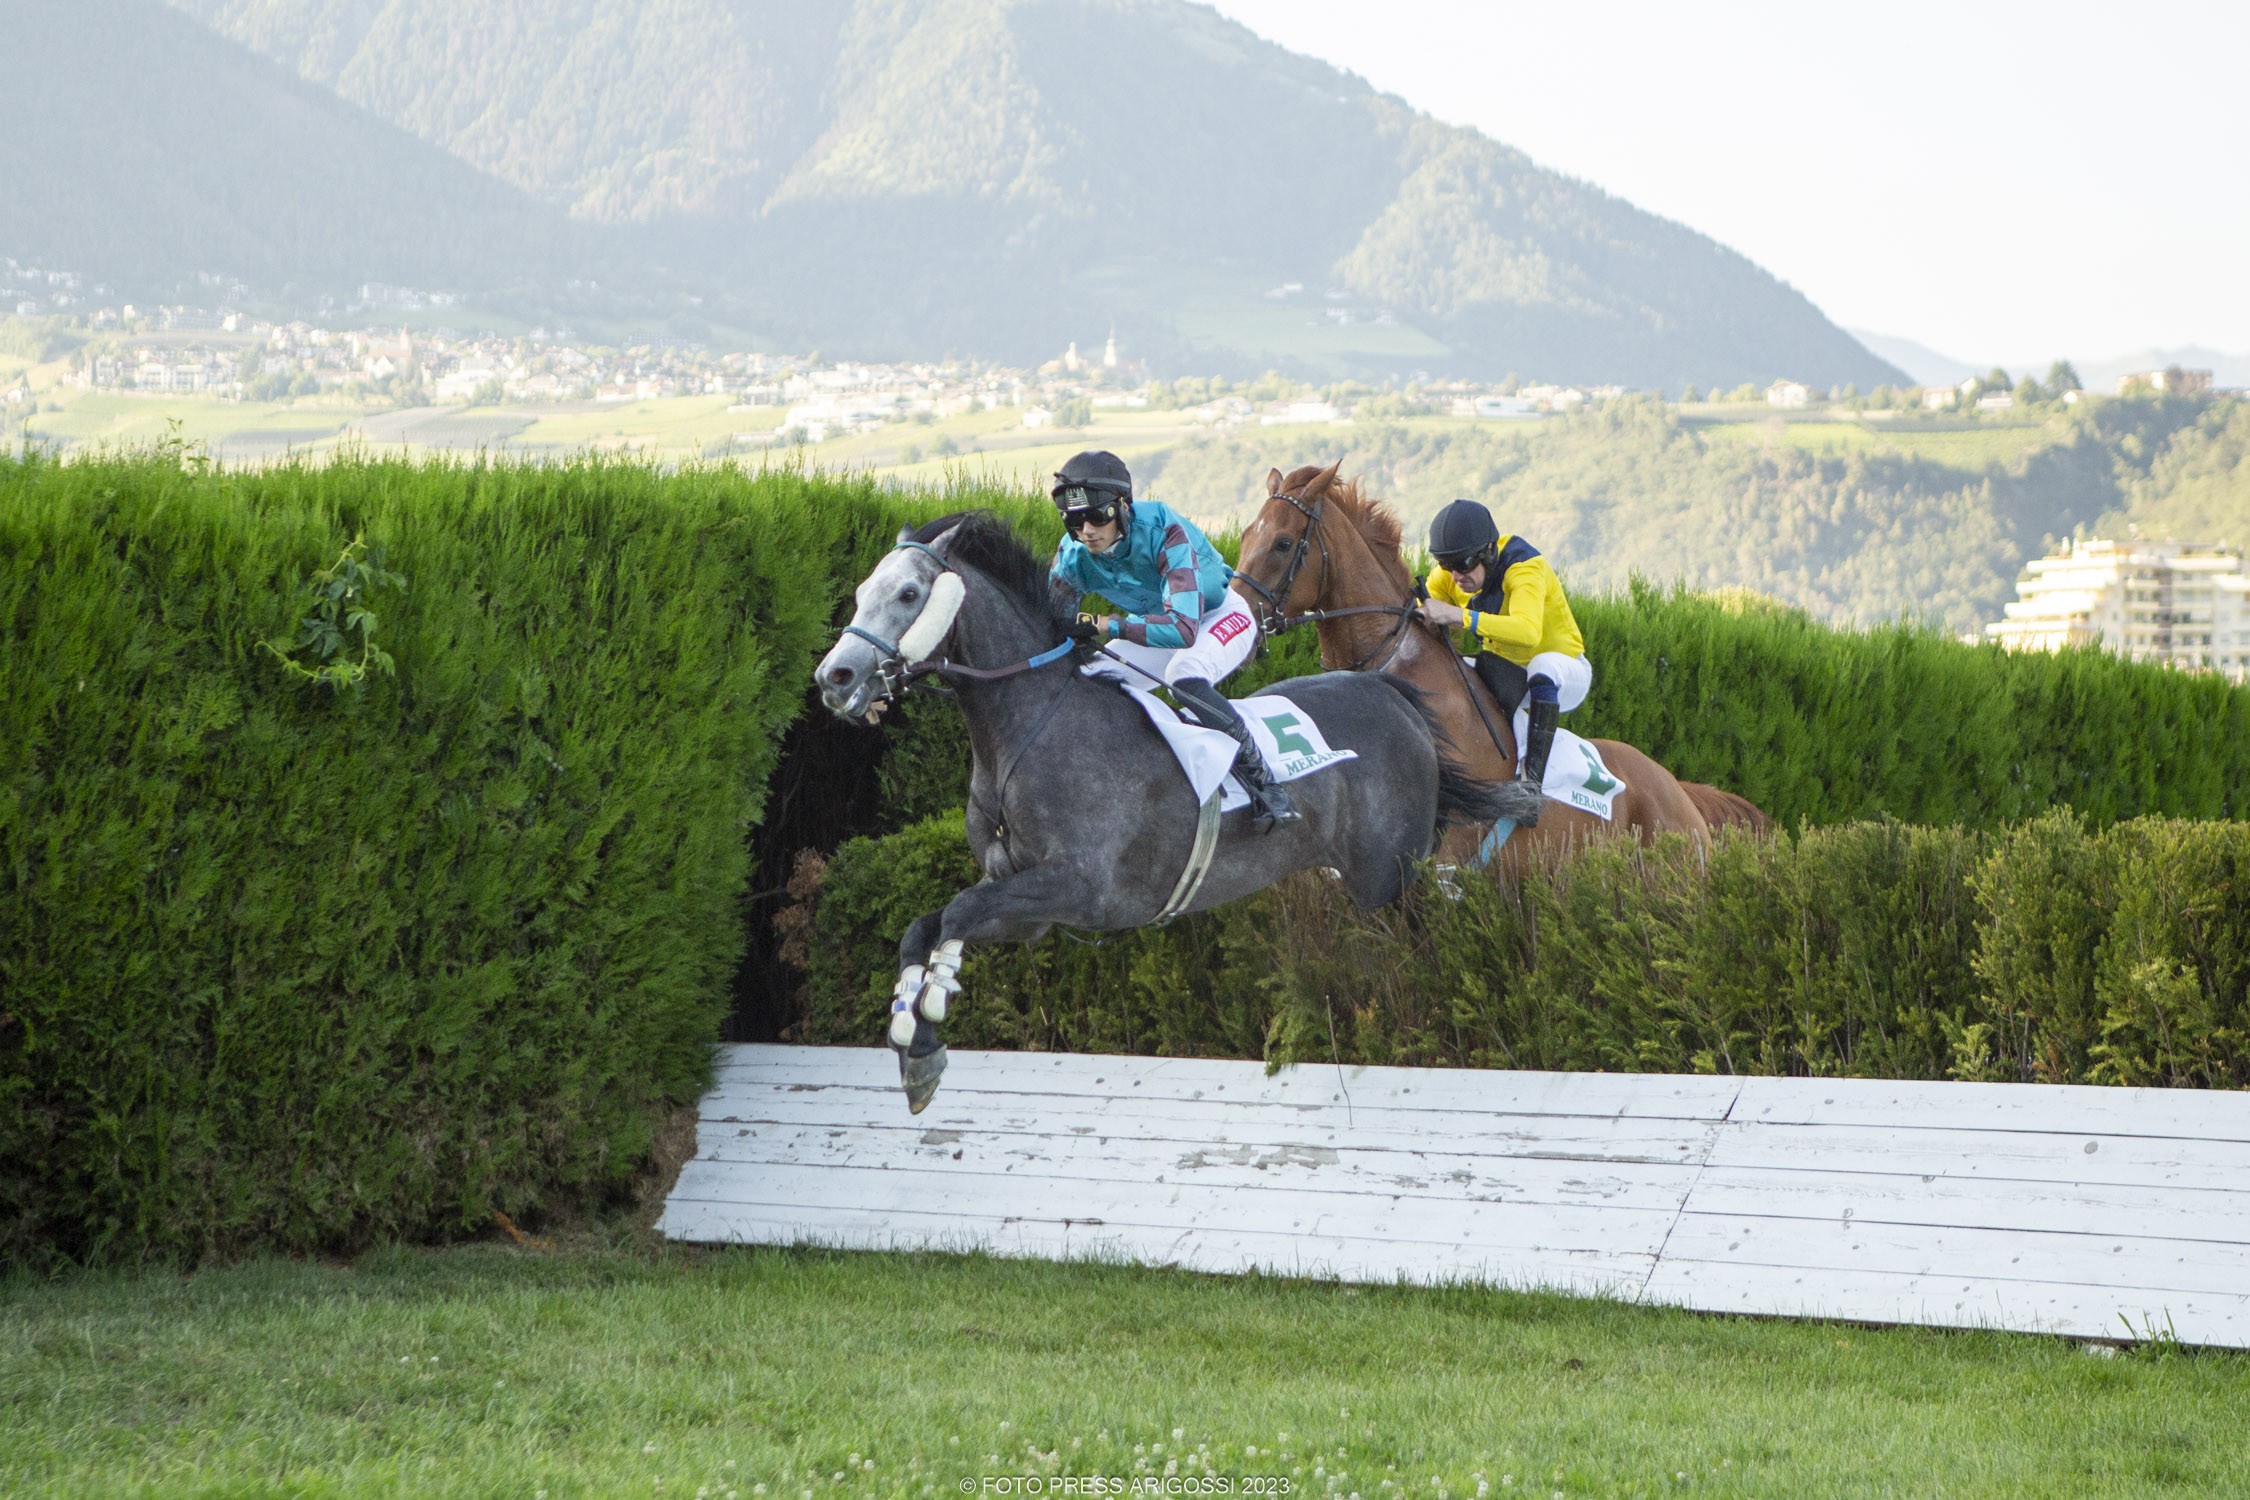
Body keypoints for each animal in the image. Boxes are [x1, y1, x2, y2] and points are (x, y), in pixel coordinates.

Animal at [814, 510, 1512, 1110]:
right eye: (862, 591)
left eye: (908, 594)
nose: (834, 678)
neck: (1028, 727)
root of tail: (1393, 693)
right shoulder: (1023, 903)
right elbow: (927, 926)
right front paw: (916, 1045)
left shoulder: (1082, 889)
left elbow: (957, 912)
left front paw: (928, 1021)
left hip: (1389, 875)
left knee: (1423, 944)